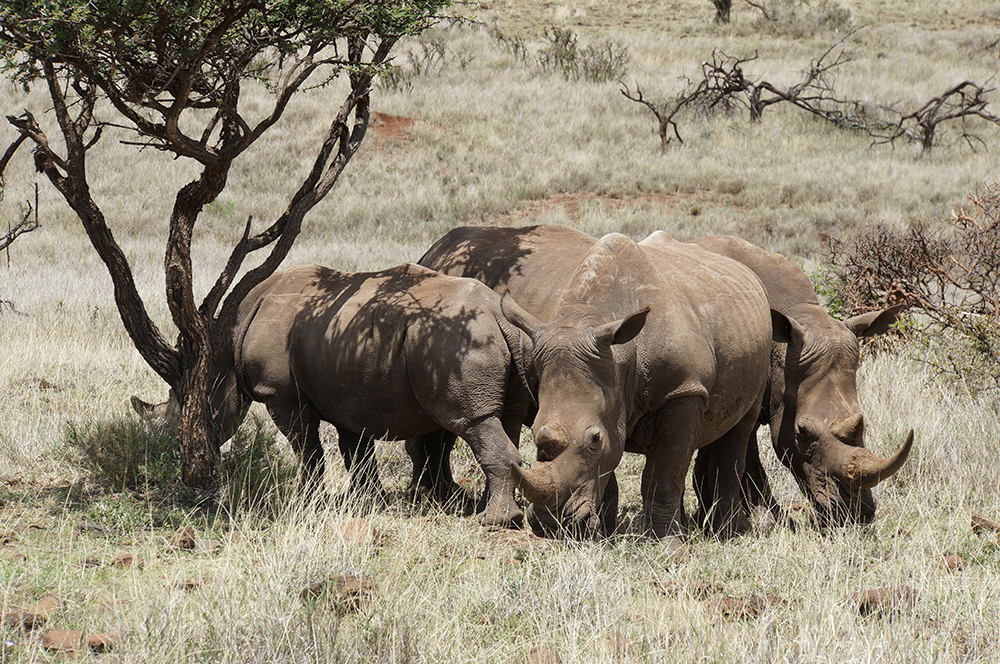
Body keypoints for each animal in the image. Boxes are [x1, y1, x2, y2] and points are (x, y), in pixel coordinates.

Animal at [136, 262, 536, 528]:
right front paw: (368, 500)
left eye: (177, 414)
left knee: (472, 421)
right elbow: (356, 451)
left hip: (454, 342)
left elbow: (307, 446)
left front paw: (308, 499)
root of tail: (496, 313)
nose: (170, 450)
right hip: (494, 340)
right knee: (507, 418)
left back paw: (492, 521)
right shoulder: (347, 395)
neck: (222, 346)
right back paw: (491, 509)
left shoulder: (281, 393)